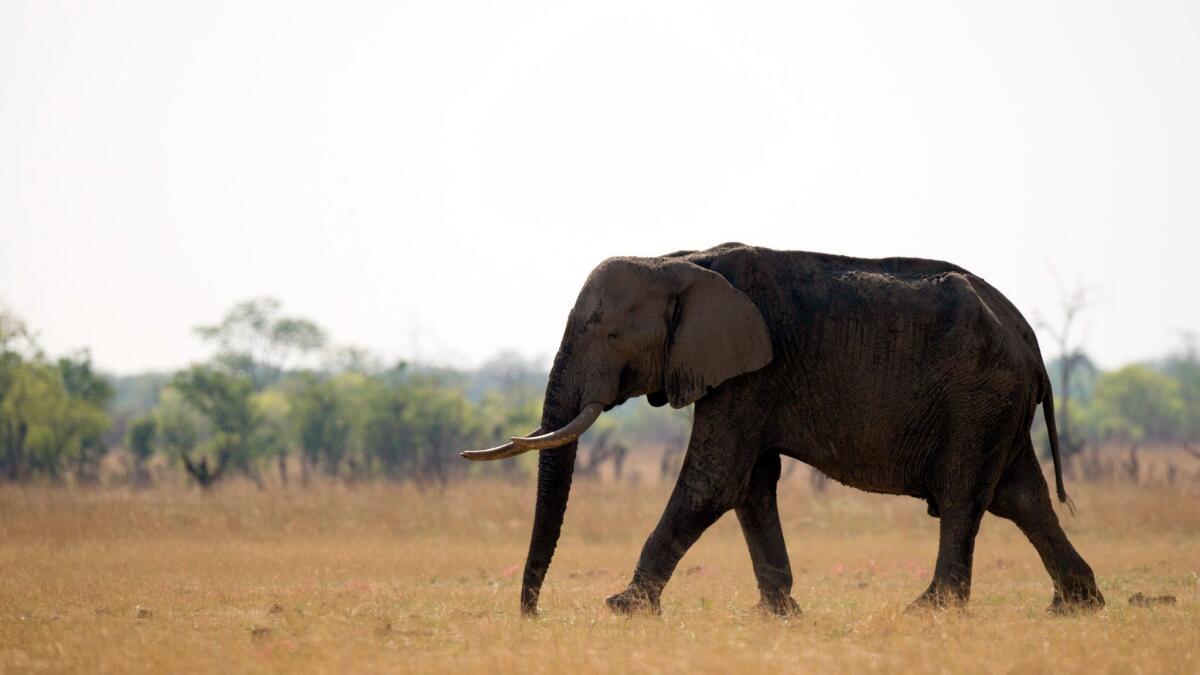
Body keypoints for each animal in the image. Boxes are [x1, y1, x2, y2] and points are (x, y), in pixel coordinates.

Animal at [460, 241, 1104, 614]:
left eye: (609, 333)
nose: (533, 615)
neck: (681, 260)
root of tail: (1032, 343)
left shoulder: (752, 372)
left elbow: (713, 481)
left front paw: (623, 608)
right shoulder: (745, 377)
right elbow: (749, 485)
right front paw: (779, 614)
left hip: (977, 397)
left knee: (964, 496)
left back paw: (930, 610)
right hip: (998, 405)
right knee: (1021, 496)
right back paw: (1077, 606)